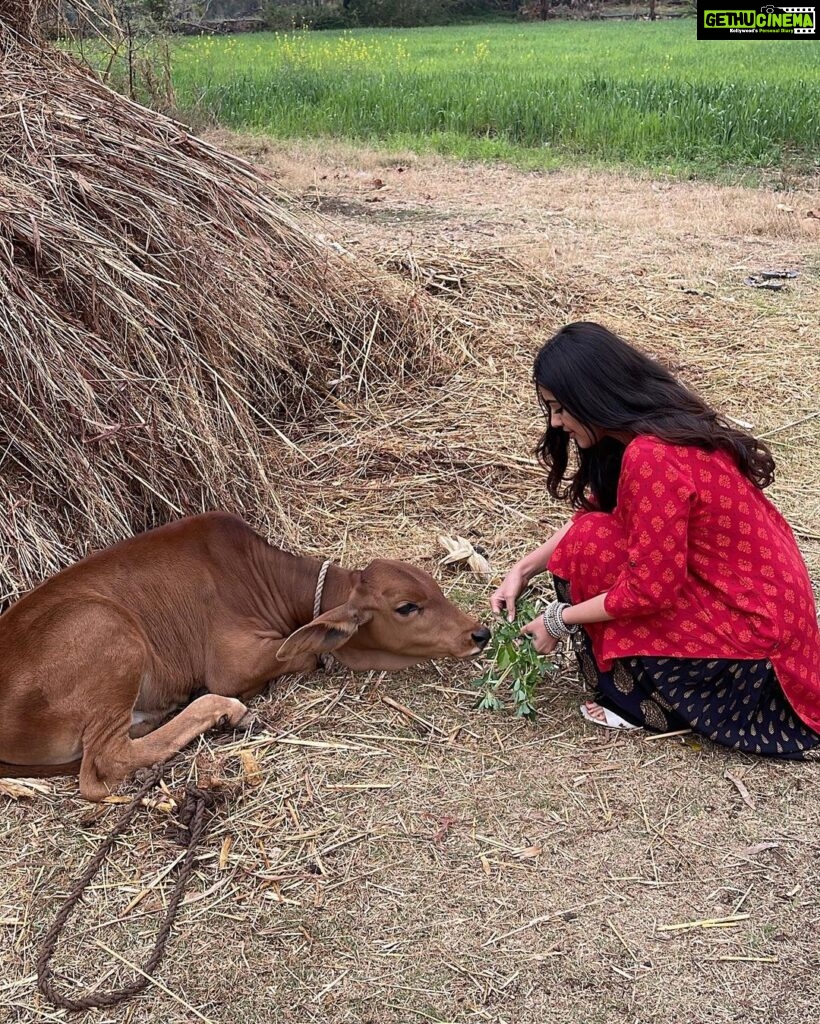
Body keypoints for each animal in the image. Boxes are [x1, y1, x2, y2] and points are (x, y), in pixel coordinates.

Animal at [0, 512, 489, 798]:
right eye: (407, 607)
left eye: (437, 589)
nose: (479, 633)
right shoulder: (232, 665)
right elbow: (305, 656)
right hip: (108, 632)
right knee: (102, 764)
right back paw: (223, 712)